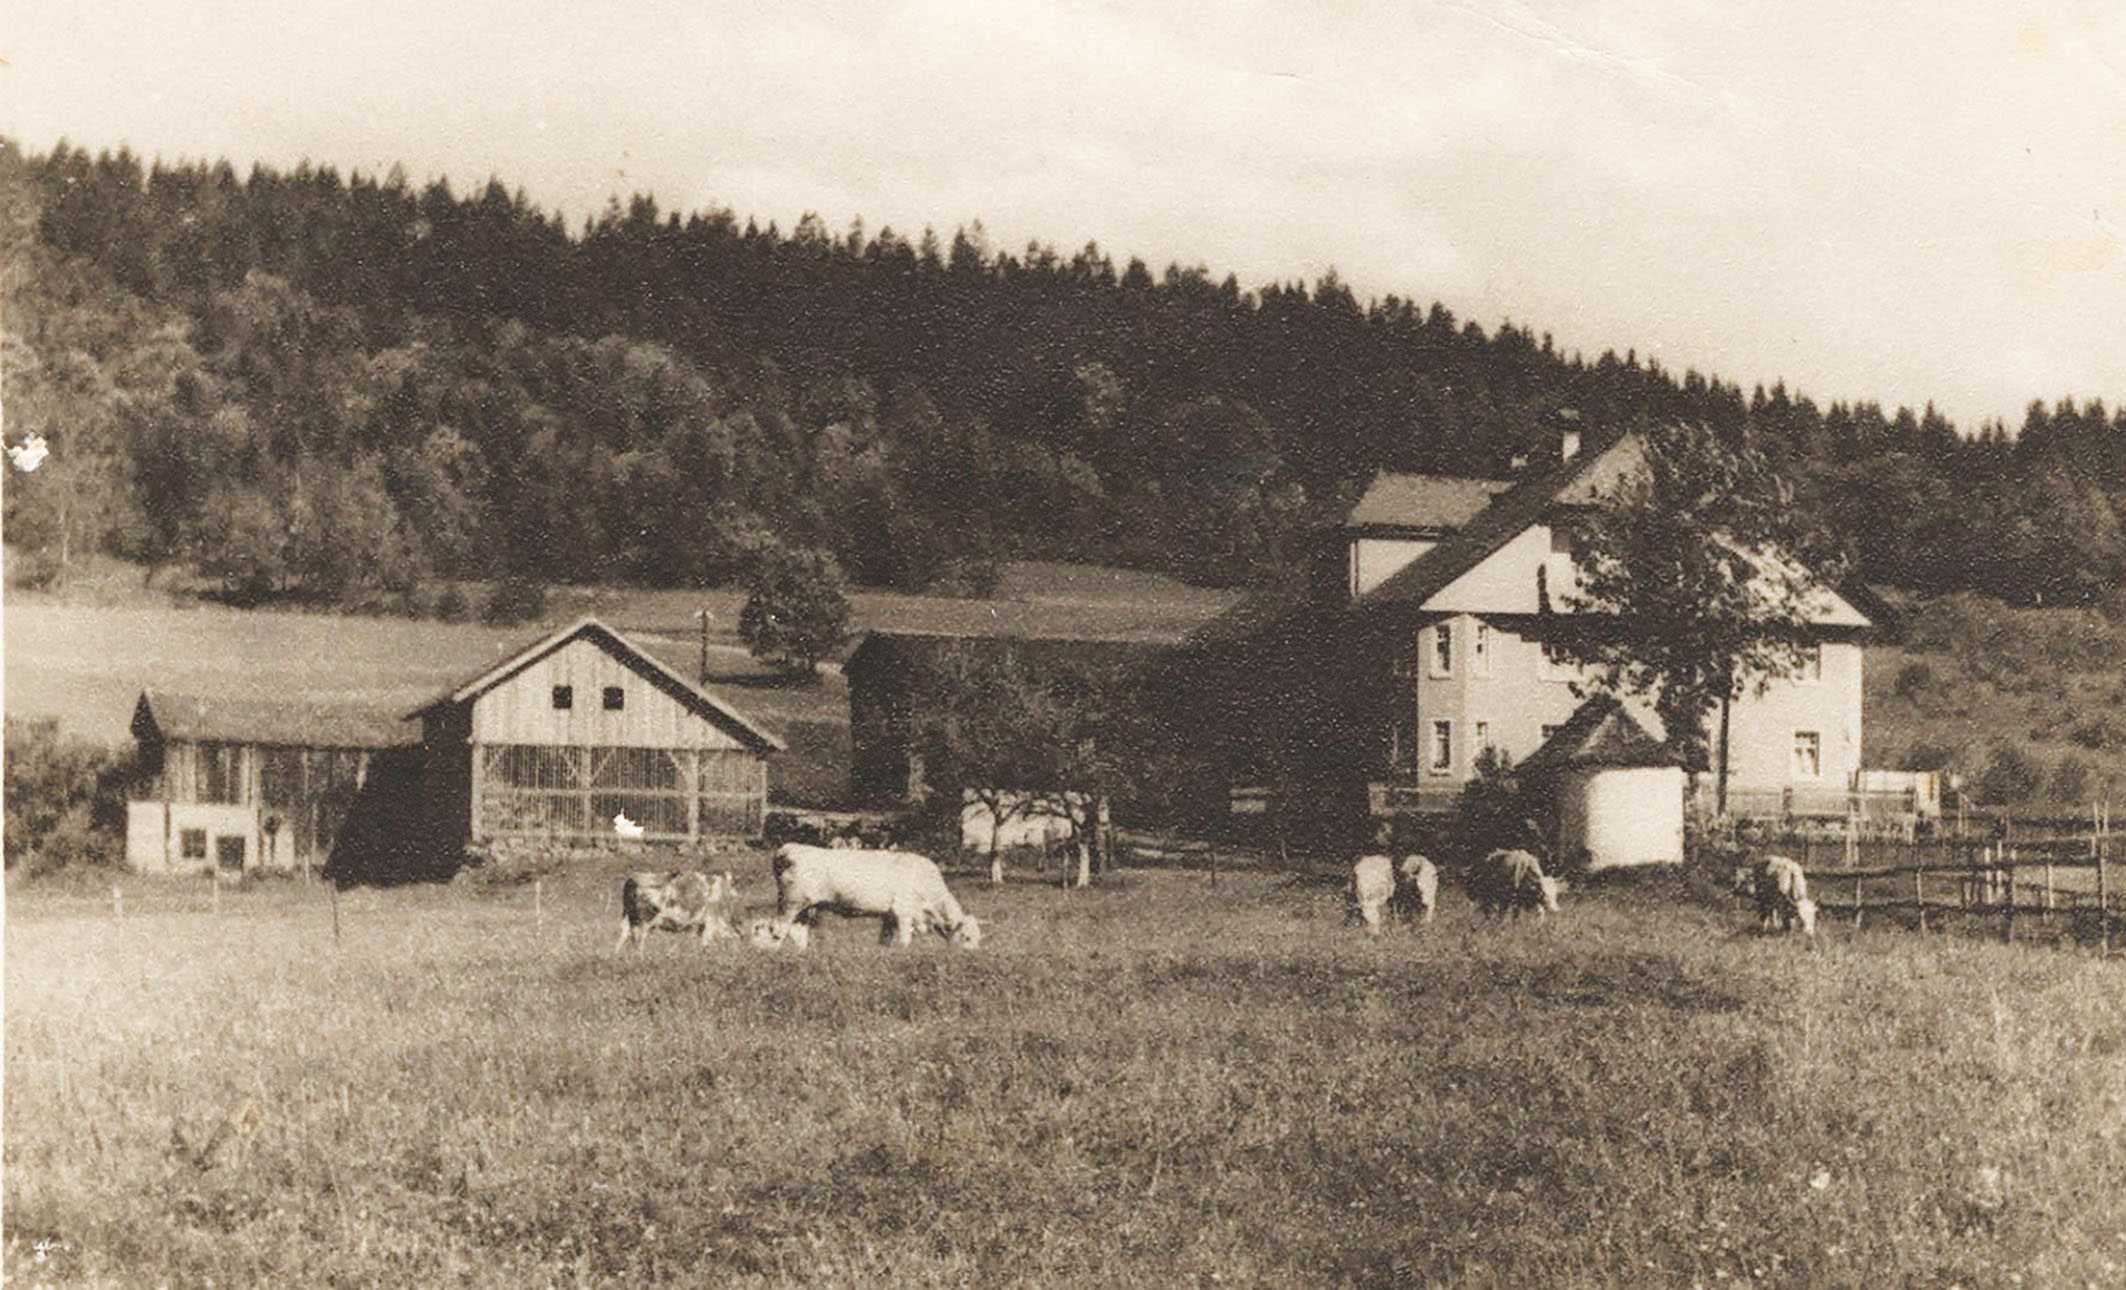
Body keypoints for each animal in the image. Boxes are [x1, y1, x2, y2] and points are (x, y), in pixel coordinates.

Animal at [773, 850, 986, 947]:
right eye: (966, 937)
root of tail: (787, 850)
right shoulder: (903, 911)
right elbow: (904, 940)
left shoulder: (889, 916)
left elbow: (885, 940)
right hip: (792, 903)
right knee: (778, 929)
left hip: (805, 908)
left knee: (797, 932)